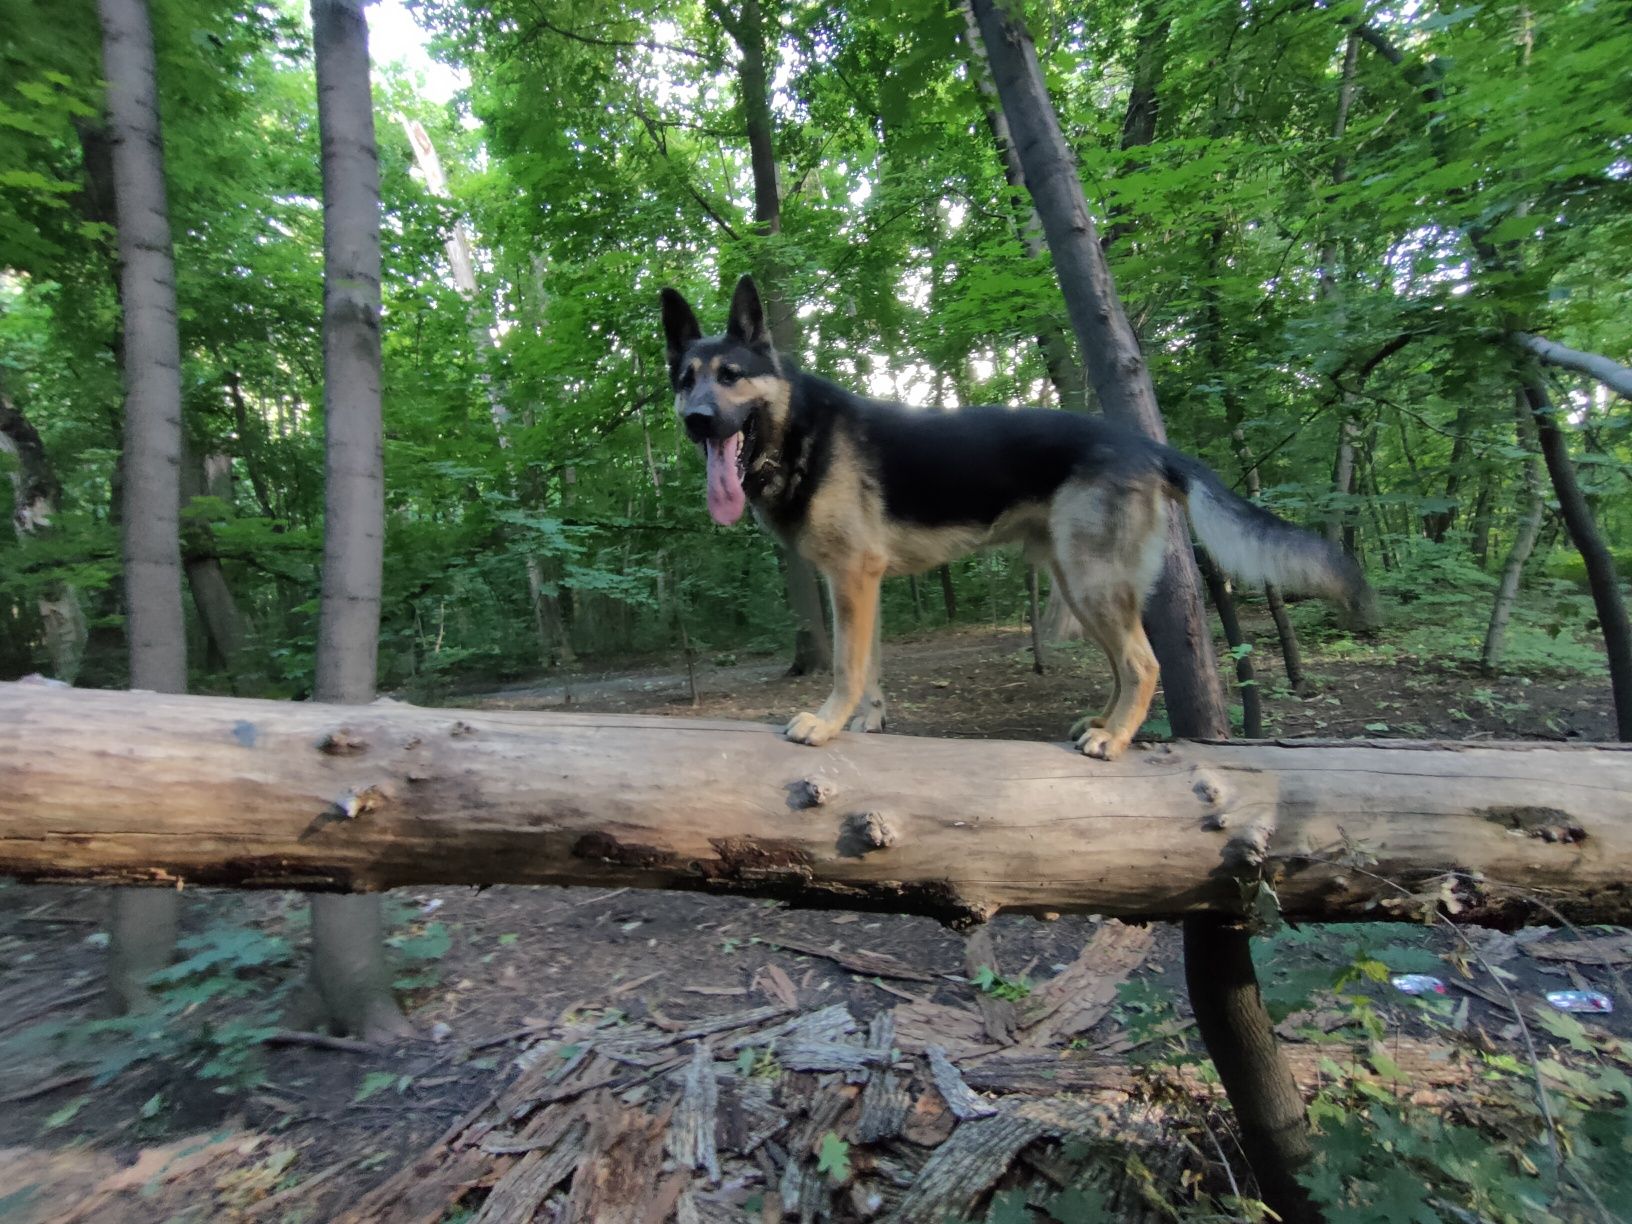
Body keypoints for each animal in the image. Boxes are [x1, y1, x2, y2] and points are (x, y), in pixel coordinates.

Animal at [656, 277, 1370, 763]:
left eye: (731, 375)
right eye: (686, 380)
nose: (696, 420)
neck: (797, 432)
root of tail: (1145, 445)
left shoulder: (852, 578)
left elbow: (845, 666)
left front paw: (827, 724)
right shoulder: (864, 585)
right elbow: (871, 666)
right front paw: (869, 724)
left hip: (1092, 582)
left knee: (1143, 664)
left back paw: (1115, 739)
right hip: (1080, 588)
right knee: (1123, 666)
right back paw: (1103, 725)